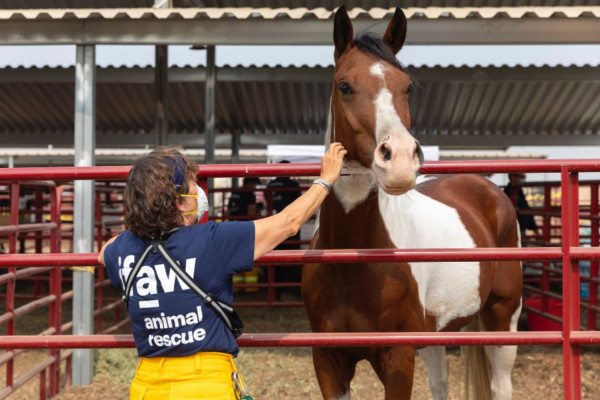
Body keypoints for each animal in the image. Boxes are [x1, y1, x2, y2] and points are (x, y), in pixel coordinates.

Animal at [302, 7, 524, 400]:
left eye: (407, 86)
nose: (402, 159)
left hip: (503, 316)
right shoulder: (328, 362)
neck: (350, 258)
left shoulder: (399, 358)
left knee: (501, 384)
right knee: (440, 383)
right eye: (344, 86)